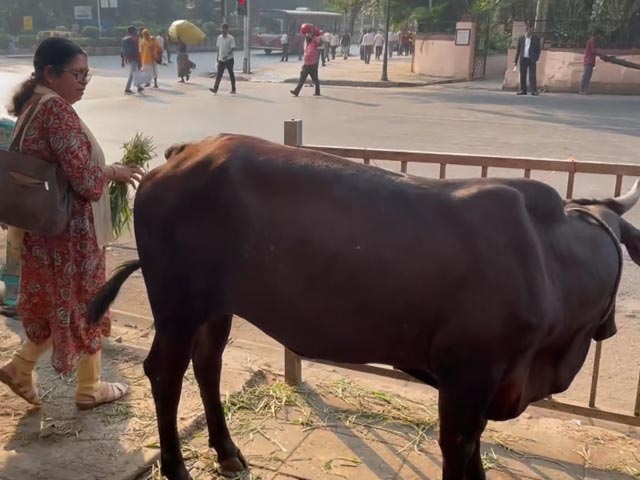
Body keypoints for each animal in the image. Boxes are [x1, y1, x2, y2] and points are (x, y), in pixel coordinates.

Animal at [88, 134, 640, 480]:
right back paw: (177, 467)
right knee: (165, 373)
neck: (551, 260)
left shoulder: (482, 388)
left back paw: (227, 453)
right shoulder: (466, 378)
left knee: (207, 365)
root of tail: (182, 153)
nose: (610, 327)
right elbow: (459, 453)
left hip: (215, 306)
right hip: (176, 305)